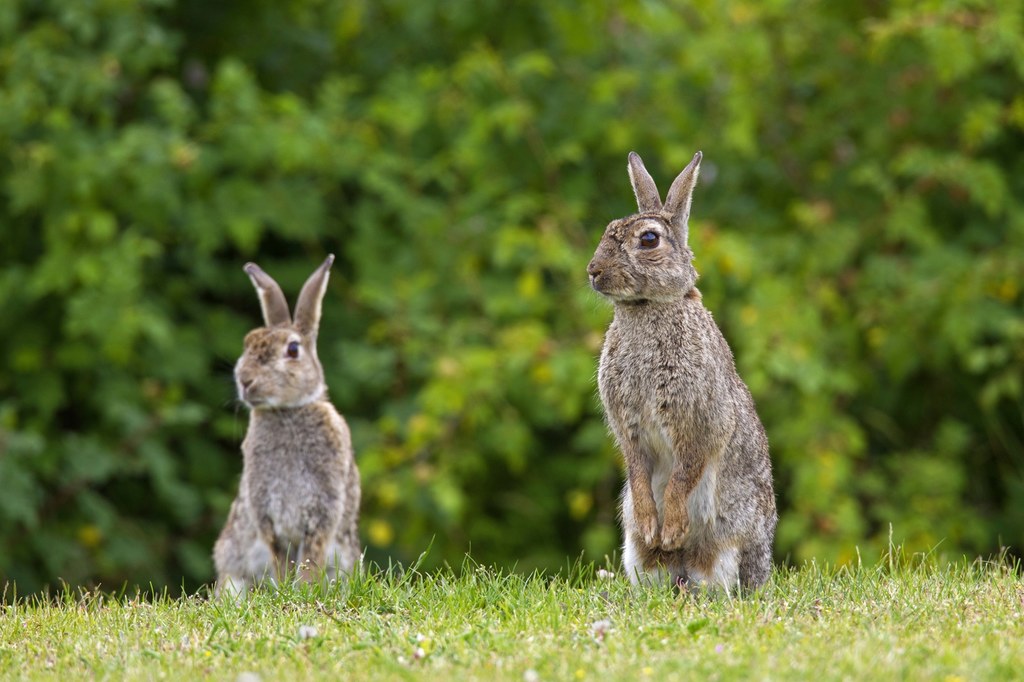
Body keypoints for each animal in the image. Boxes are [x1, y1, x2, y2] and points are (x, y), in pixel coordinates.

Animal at [214, 253, 362, 593]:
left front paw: (304, 590)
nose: (245, 380)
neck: (287, 411)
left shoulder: (322, 511)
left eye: (293, 350)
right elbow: (282, 559)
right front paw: (287, 590)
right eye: (247, 345)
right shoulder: (267, 516)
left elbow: (310, 558)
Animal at [585, 150, 774, 589]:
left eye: (649, 239)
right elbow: (638, 470)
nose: (593, 271)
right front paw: (653, 526)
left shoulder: (699, 420)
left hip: (727, 544)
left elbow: (684, 475)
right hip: (637, 553)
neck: (647, 308)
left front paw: (671, 530)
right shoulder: (629, 427)